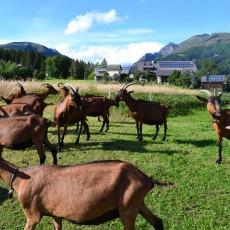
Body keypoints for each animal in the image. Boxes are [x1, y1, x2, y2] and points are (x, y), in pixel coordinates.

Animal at [0, 158, 172, 230]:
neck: (19, 179)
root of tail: (147, 179)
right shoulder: (56, 214)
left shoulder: (32, 214)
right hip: (137, 204)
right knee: (157, 222)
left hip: (128, 210)